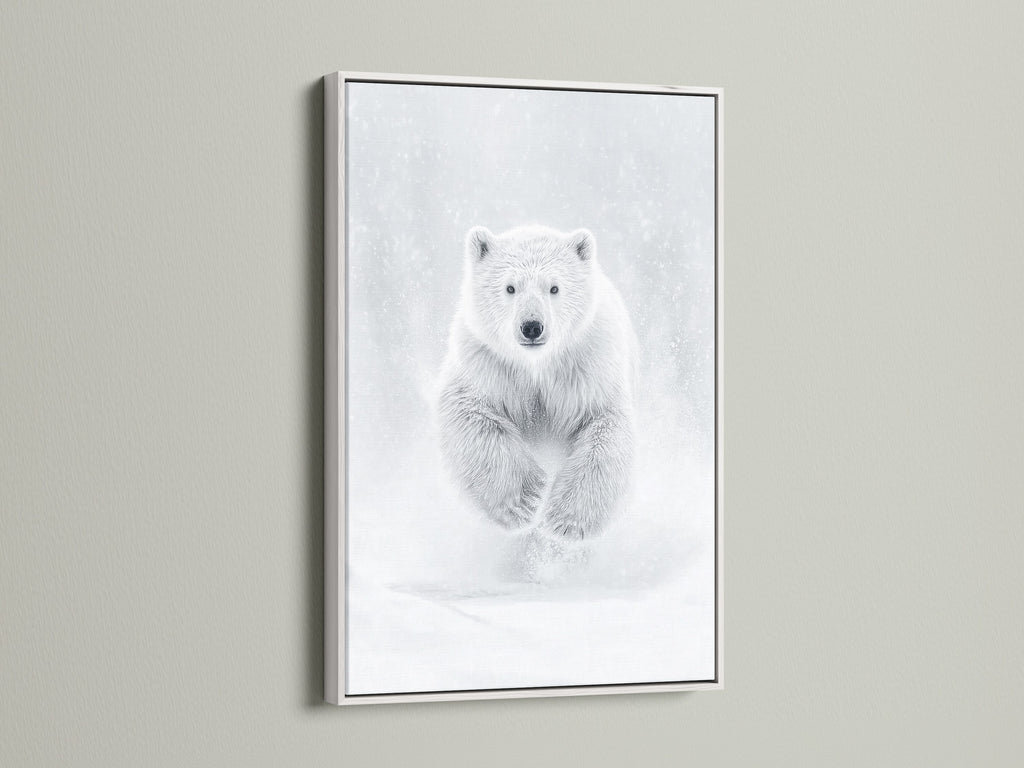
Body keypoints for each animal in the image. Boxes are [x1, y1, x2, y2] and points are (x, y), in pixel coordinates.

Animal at [438, 225, 637, 541]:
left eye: (554, 287)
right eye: (510, 287)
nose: (532, 326)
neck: (536, 365)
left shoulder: (587, 366)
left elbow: (605, 428)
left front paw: (566, 521)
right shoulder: (487, 363)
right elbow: (469, 413)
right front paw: (525, 501)